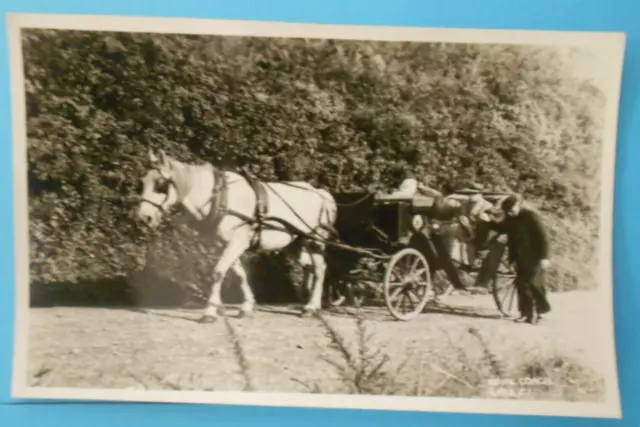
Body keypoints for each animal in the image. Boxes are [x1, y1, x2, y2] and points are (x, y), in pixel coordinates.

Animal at [136, 149, 340, 322]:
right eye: (143, 182)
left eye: (160, 184)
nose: (143, 218)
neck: (220, 197)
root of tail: (319, 192)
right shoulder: (226, 243)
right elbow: (239, 273)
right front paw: (246, 306)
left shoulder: (237, 241)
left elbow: (218, 272)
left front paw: (210, 312)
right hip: (295, 242)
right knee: (308, 267)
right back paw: (306, 299)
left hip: (313, 239)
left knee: (320, 268)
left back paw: (311, 307)